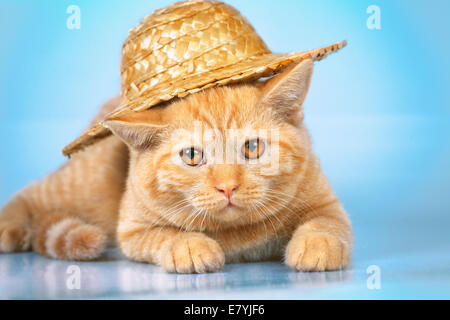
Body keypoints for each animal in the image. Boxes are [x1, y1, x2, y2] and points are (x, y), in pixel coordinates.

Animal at [0, 60, 352, 272]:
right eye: (193, 156)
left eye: (252, 148)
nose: (227, 186)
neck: (238, 234)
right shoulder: (132, 229)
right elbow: (164, 234)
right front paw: (190, 246)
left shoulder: (325, 201)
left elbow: (326, 222)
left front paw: (317, 244)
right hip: (86, 186)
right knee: (30, 193)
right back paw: (8, 226)